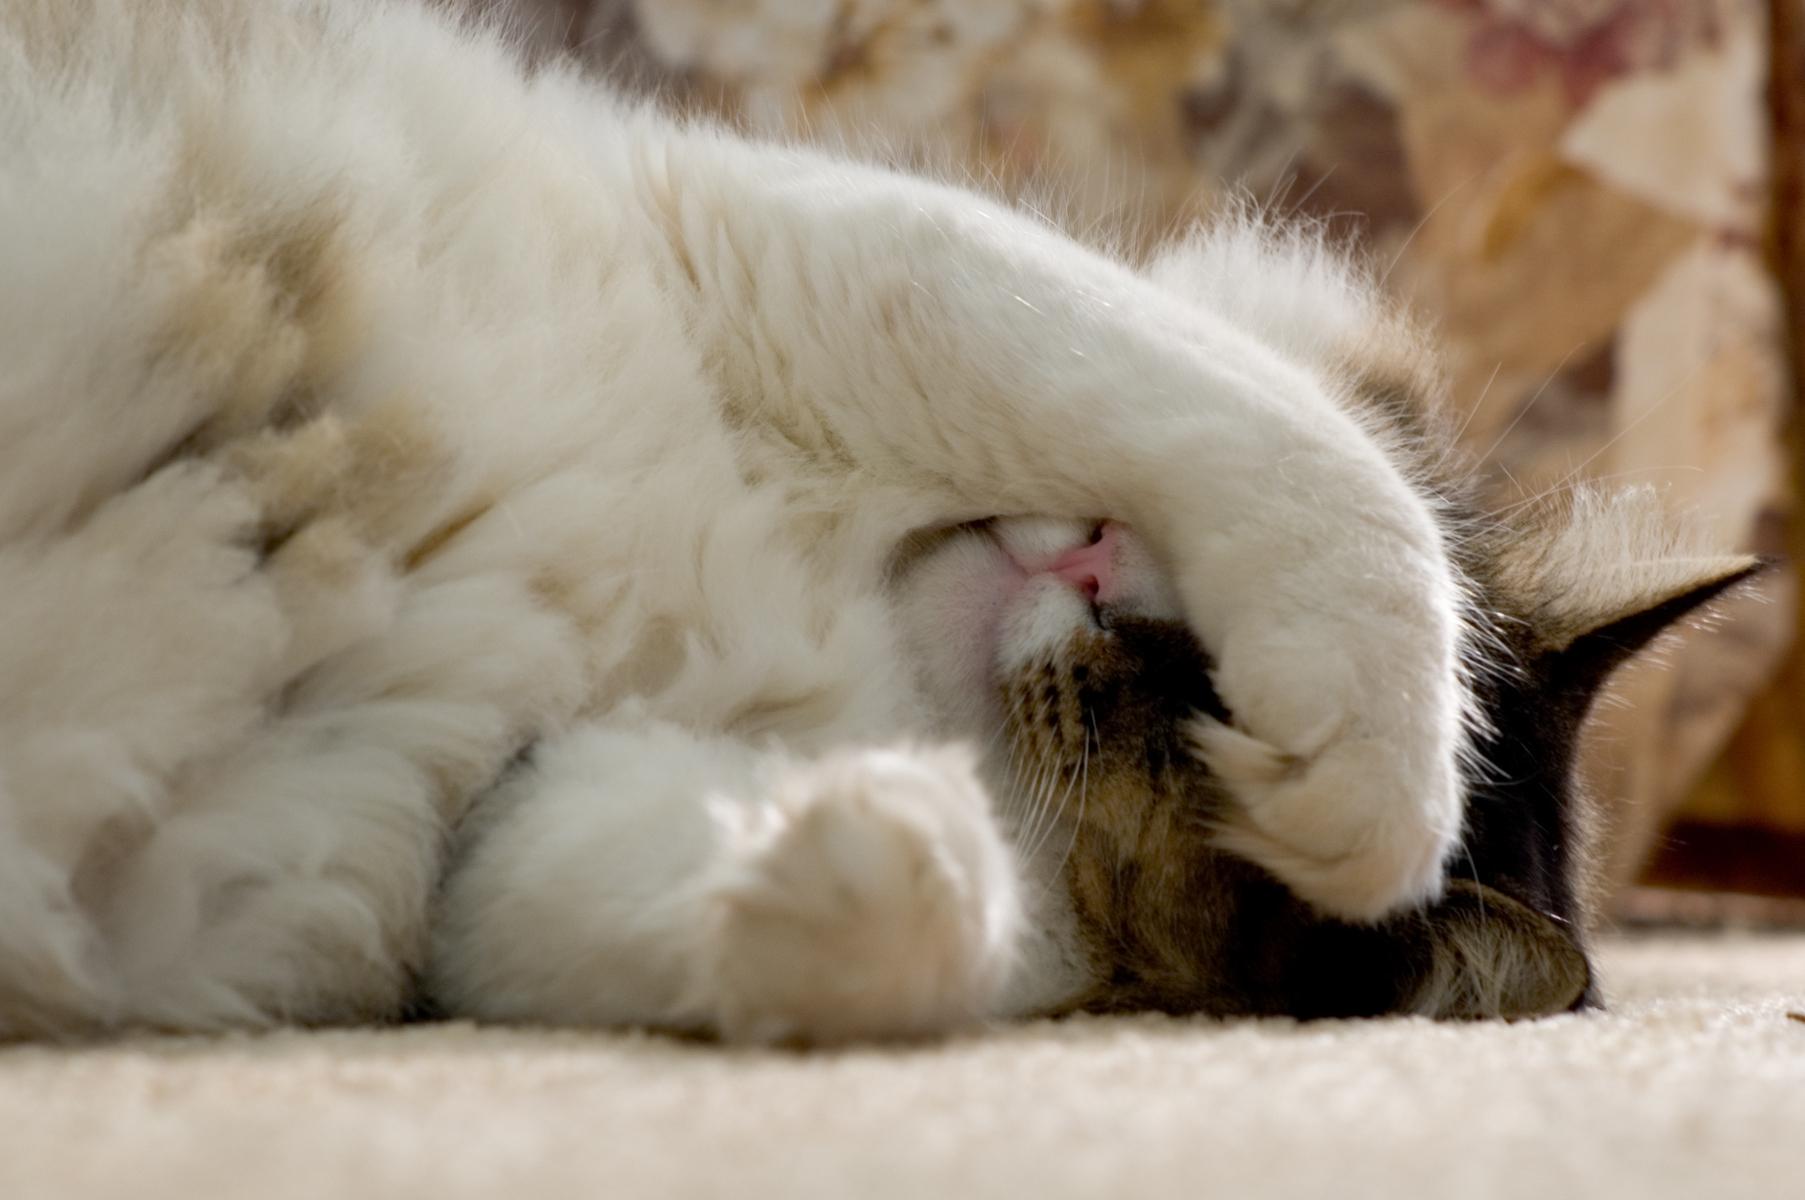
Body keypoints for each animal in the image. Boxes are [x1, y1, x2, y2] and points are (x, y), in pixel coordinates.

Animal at [0, 0, 1747, 1039]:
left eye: (1175, 702)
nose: (1087, 561)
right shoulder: (777, 246)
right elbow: (1311, 468)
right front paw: (1375, 789)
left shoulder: (486, 848)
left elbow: (819, 925)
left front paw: (866, 848)